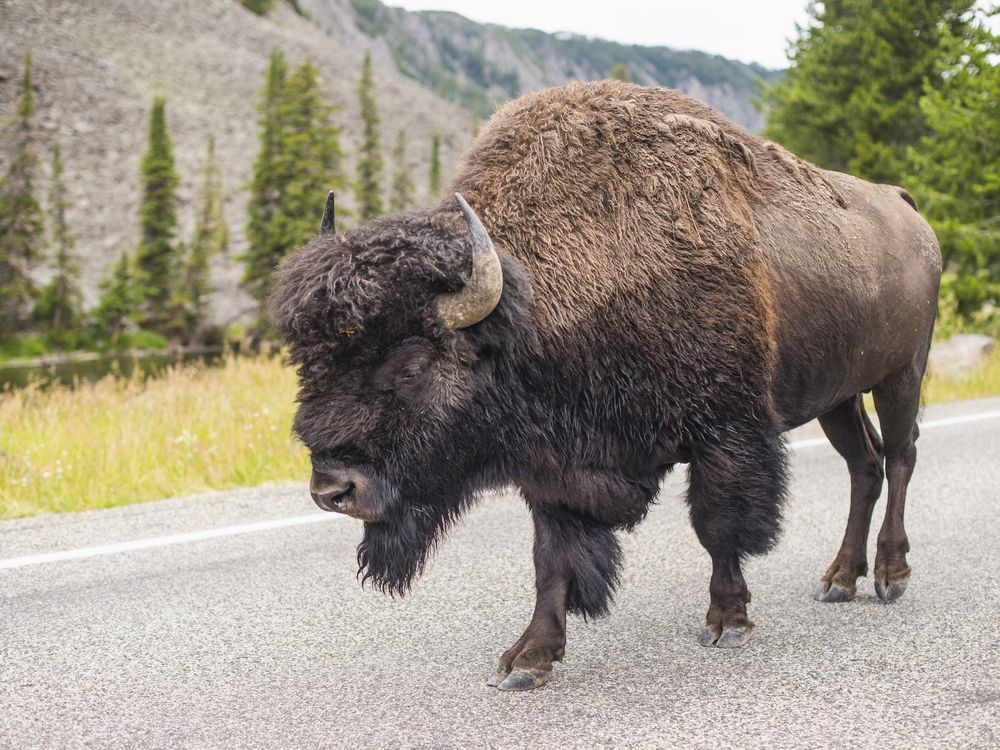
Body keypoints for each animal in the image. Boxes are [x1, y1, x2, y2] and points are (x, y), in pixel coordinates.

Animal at [270, 81, 940, 692]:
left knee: (900, 457)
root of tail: (903, 204)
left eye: (413, 366)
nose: (332, 490)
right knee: (864, 464)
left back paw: (889, 575)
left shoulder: (725, 434)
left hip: (900, 374)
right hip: (840, 395)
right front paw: (528, 659)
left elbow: (718, 526)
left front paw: (727, 622)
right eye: (308, 363)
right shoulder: (553, 467)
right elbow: (551, 558)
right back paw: (839, 579)